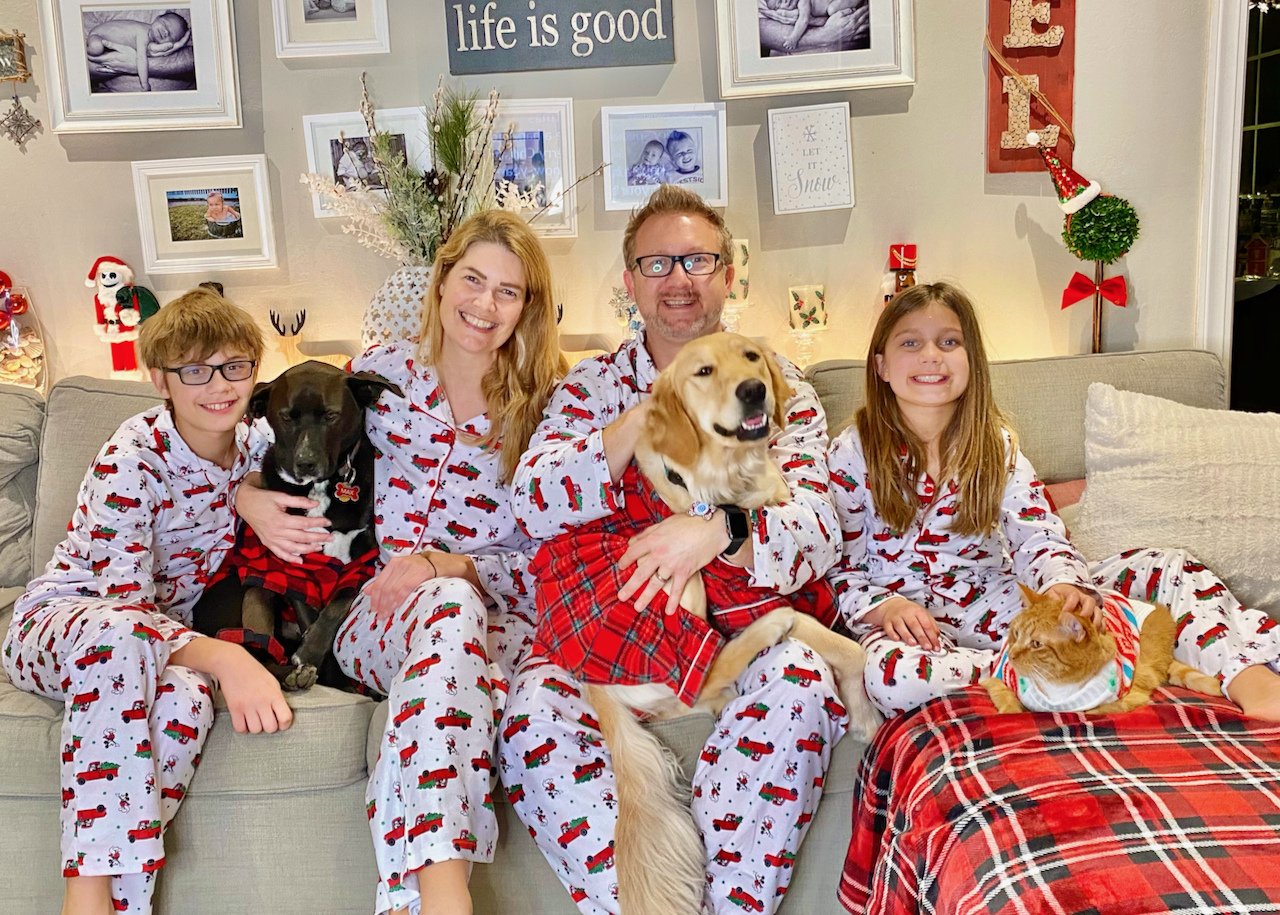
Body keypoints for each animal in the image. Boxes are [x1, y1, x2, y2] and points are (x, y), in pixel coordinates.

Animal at [195, 360, 399, 691]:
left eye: (331, 415)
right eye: (286, 417)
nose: (305, 463)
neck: (321, 488)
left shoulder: (361, 561)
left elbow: (335, 609)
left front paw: (321, 661)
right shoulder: (289, 565)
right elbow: (308, 612)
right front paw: (315, 663)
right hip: (251, 591)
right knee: (258, 654)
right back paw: (293, 675)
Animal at [977, 586, 1218, 716]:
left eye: (1036, 644)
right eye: (1016, 634)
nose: (1011, 655)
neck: (1058, 686)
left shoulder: (1130, 698)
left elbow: (1092, 711)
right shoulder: (995, 679)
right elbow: (1007, 702)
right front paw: (1012, 711)